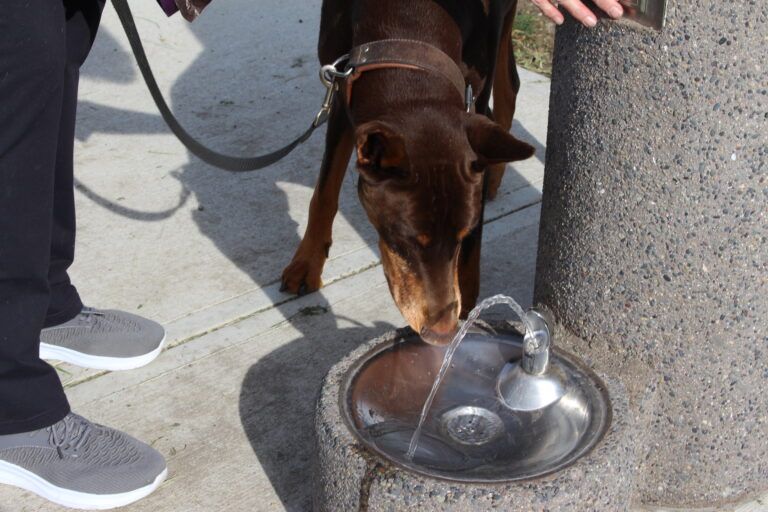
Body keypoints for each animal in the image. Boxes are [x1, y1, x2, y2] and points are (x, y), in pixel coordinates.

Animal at [280, 0, 536, 346]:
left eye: (460, 236)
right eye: (405, 240)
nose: (443, 332)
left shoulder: (475, 92)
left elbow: (474, 241)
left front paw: (471, 312)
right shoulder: (345, 86)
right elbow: (325, 190)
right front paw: (307, 263)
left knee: (508, 87)